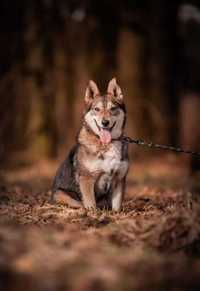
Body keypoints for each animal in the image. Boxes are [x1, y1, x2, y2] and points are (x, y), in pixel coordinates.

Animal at [52, 78, 130, 211]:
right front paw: (93, 213)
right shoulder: (87, 179)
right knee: (78, 204)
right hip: (60, 194)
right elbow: (91, 204)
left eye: (113, 108)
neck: (106, 144)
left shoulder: (119, 179)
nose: (105, 122)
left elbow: (117, 206)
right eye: (96, 109)